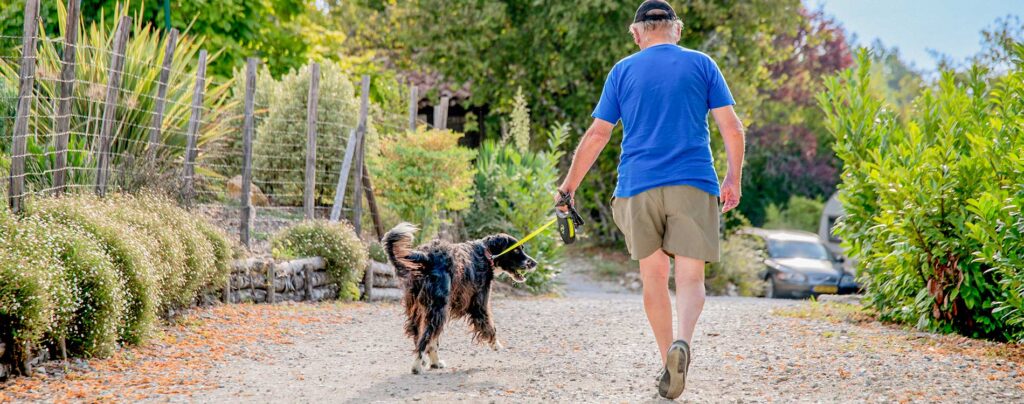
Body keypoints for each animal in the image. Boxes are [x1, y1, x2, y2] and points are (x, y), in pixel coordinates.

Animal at [385, 222, 540, 374]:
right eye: (516, 251)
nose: (534, 263)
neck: (486, 254)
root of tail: (427, 256)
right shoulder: (480, 304)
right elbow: (490, 326)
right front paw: (497, 346)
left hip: (419, 310)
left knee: (422, 336)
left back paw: (433, 363)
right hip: (438, 309)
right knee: (427, 337)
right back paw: (417, 366)